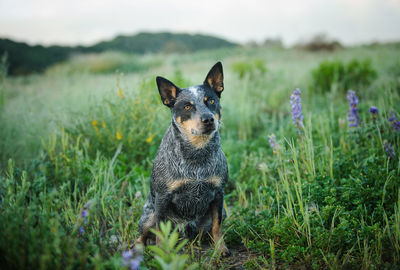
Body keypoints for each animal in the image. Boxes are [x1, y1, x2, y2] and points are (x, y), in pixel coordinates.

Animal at [136, 62, 230, 256]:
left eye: (211, 101)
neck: (197, 156)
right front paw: (163, 255)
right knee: (141, 235)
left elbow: (217, 227)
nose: (208, 119)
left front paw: (221, 248)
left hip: (221, 212)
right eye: (187, 106)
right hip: (149, 215)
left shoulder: (219, 194)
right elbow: (160, 233)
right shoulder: (162, 198)